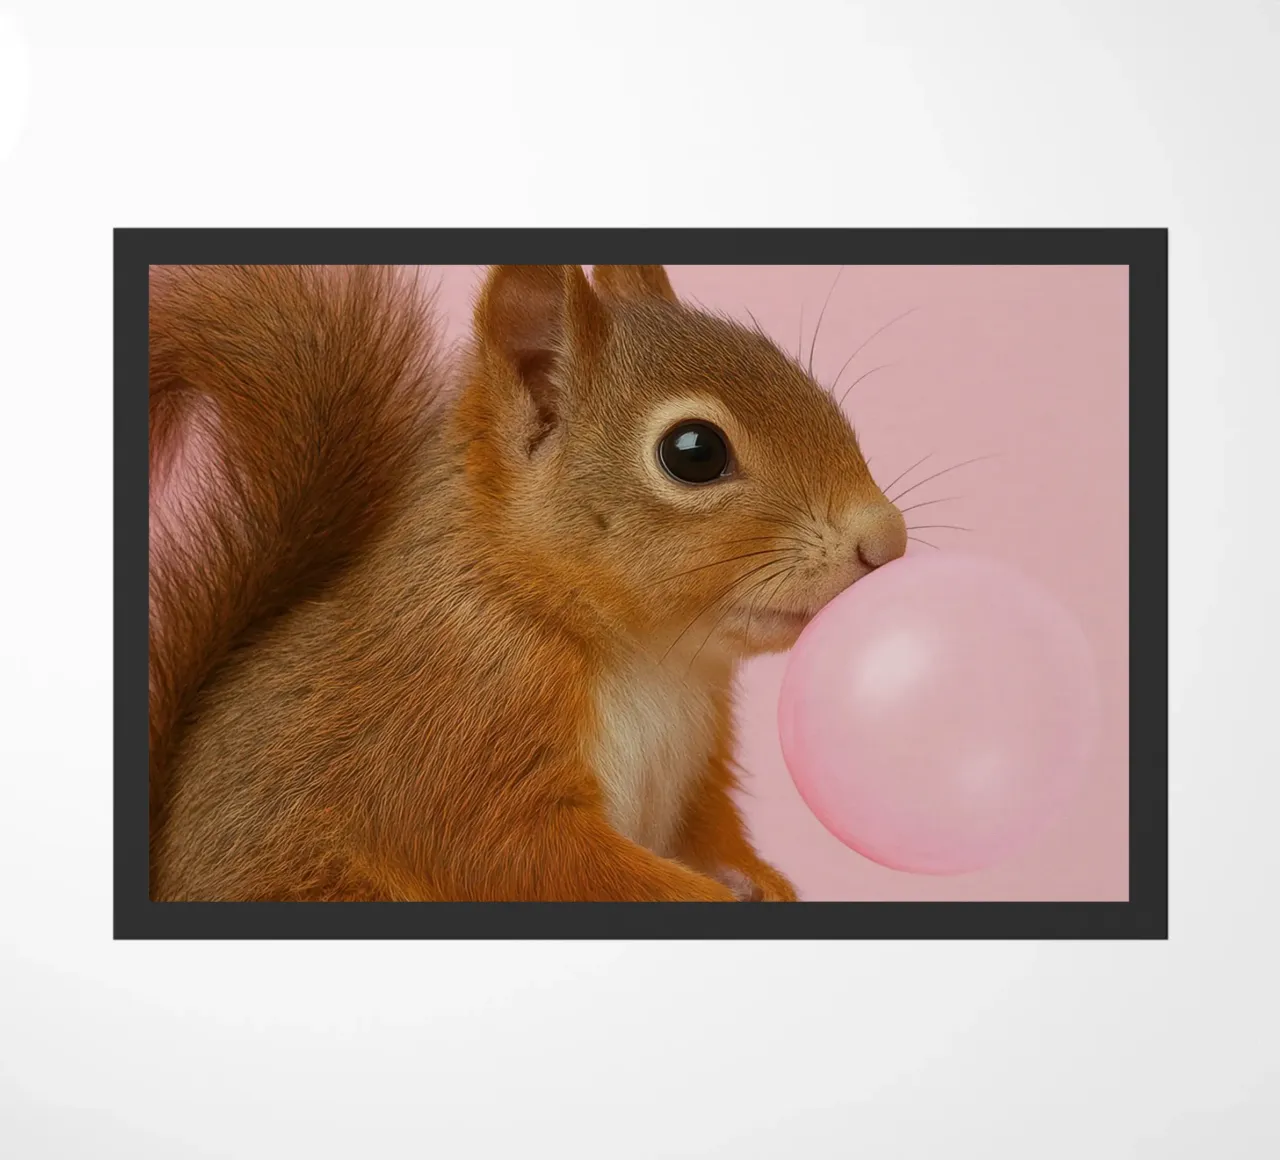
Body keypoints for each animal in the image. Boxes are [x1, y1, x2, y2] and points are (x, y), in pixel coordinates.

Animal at [148, 263, 907, 901]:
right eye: (694, 453)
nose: (887, 540)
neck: (652, 658)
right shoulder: (454, 730)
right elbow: (522, 853)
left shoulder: (700, 774)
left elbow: (708, 836)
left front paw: (762, 884)